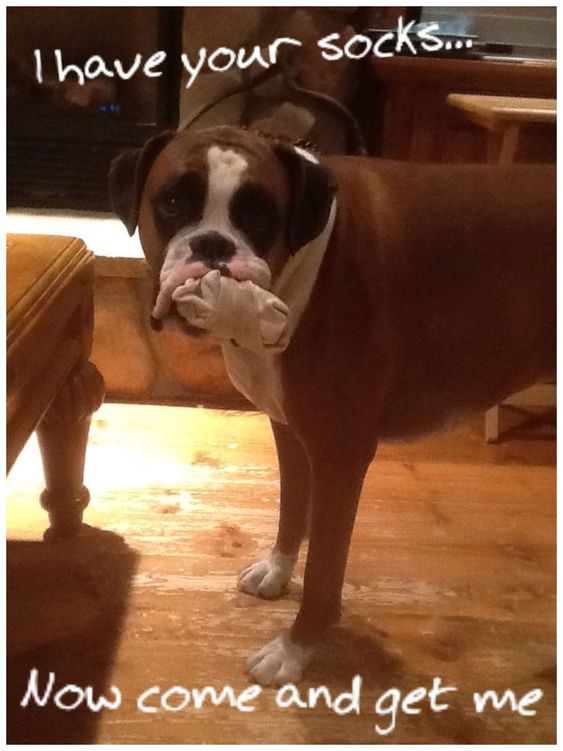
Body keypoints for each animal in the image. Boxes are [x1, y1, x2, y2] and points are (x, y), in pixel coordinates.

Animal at [109, 125, 556, 688]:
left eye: (260, 216)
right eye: (172, 202)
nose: (213, 245)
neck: (305, 262)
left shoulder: (340, 459)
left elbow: (324, 570)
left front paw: (295, 648)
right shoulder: (290, 433)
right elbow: (291, 510)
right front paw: (277, 572)